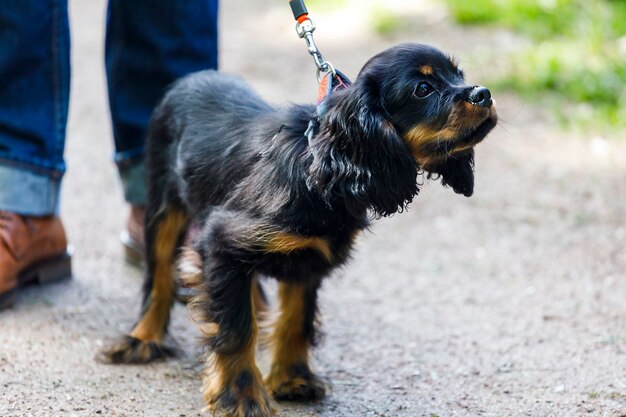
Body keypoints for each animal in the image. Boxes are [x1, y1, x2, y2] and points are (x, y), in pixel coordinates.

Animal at [100, 43, 494, 416]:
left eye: (458, 74)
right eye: (423, 89)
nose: (484, 93)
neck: (321, 169)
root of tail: (189, 79)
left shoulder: (309, 260)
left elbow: (295, 320)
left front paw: (292, 379)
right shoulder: (222, 240)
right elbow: (235, 328)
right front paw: (241, 397)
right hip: (162, 206)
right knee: (159, 277)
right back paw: (142, 339)